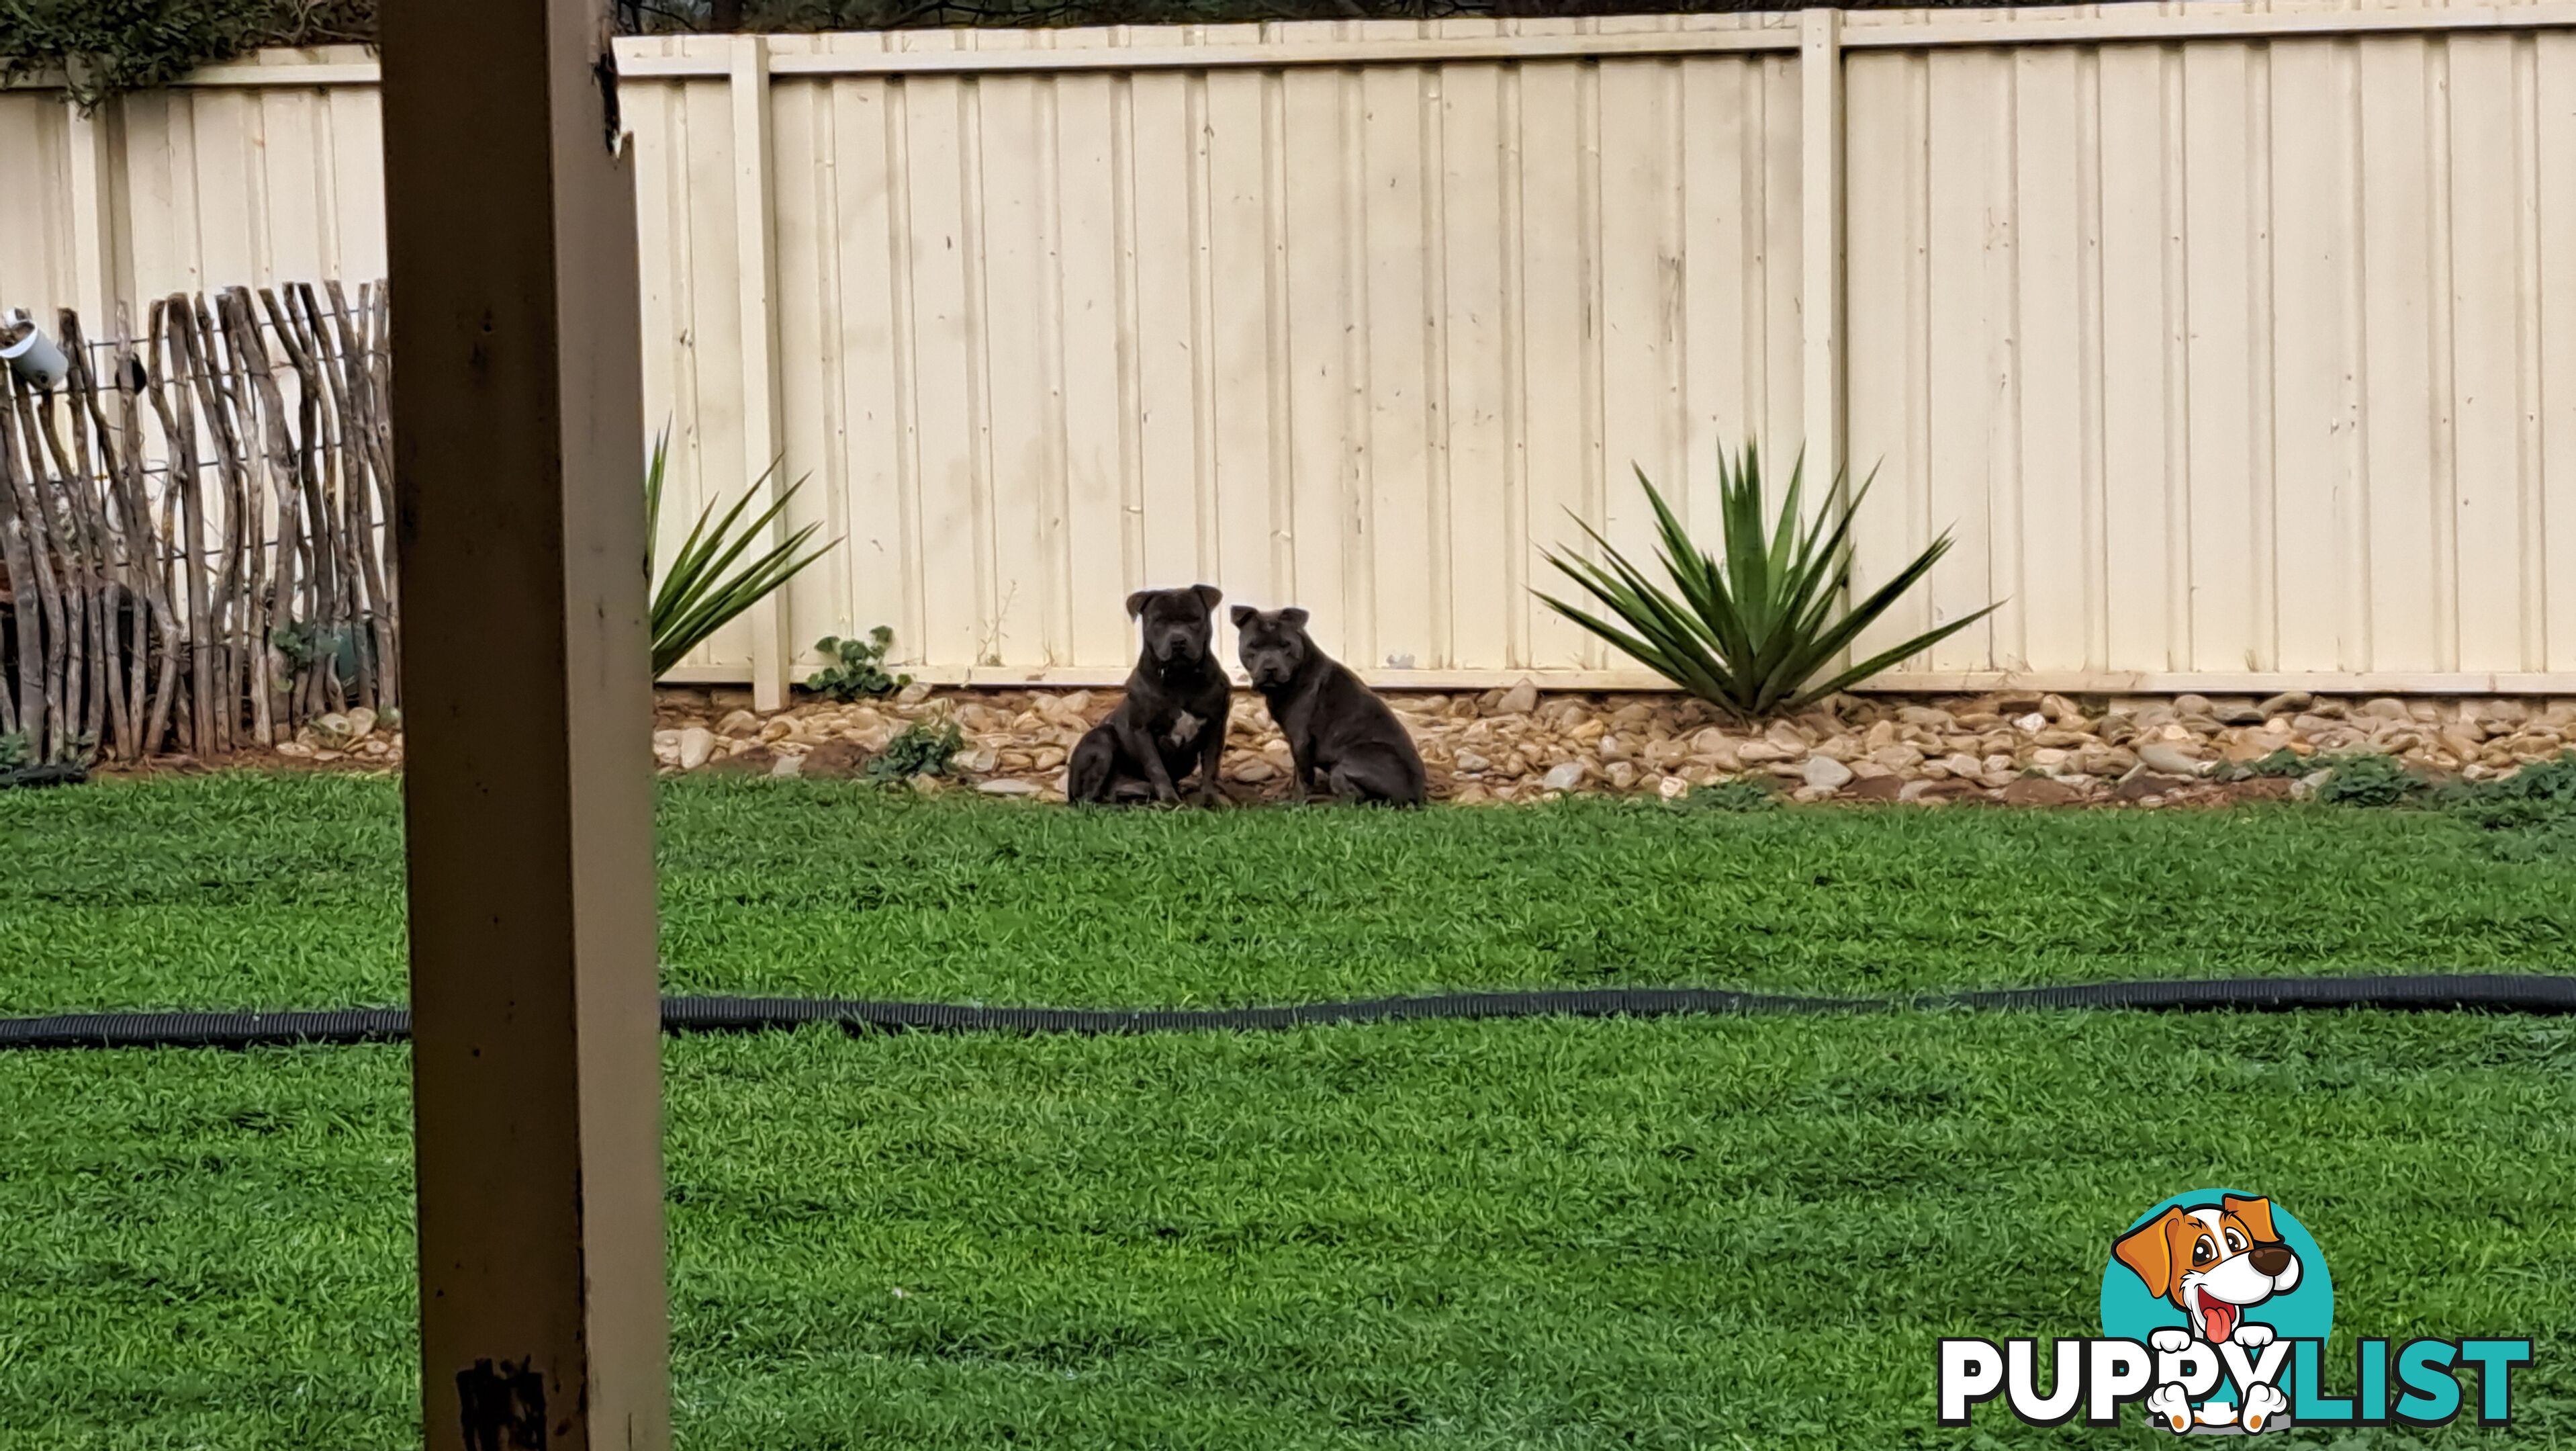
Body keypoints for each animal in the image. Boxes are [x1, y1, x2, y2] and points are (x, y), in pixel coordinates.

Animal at [1066, 584, 1226, 804]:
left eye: (1194, 619)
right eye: (1159, 621)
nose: (1178, 640)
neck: (1180, 677)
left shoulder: (1215, 726)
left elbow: (1210, 766)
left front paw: (1210, 799)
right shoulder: (1143, 729)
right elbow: (1156, 767)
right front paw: (1170, 800)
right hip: (1102, 739)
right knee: (1088, 799)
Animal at [1231, 605, 1432, 804]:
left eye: (1285, 645)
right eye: (1253, 645)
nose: (1270, 668)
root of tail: (1415, 797)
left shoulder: (1301, 740)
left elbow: (1303, 778)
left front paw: (1297, 803)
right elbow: (1297, 774)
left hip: (1344, 766)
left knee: (1352, 800)